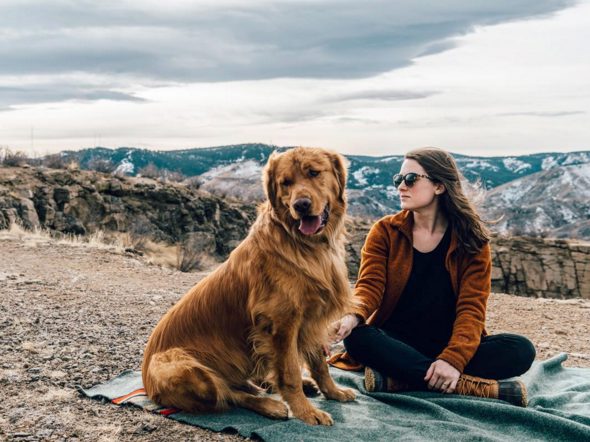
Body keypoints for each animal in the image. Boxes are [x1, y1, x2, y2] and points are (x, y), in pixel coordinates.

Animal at [143, 148, 356, 424]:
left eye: (313, 173)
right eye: (285, 183)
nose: (300, 205)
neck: (304, 244)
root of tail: (146, 383)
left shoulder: (311, 319)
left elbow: (320, 365)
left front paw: (334, 392)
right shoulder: (282, 324)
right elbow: (289, 373)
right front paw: (306, 411)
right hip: (186, 370)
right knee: (228, 393)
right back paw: (270, 404)